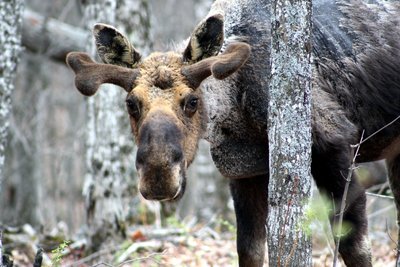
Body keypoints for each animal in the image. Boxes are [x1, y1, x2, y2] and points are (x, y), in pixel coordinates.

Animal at [66, 0, 400, 266]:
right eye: (131, 104)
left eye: (192, 101)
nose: (158, 175)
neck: (237, 115)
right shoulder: (245, 170)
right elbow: (249, 251)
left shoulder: (335, 144)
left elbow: (355, 248)